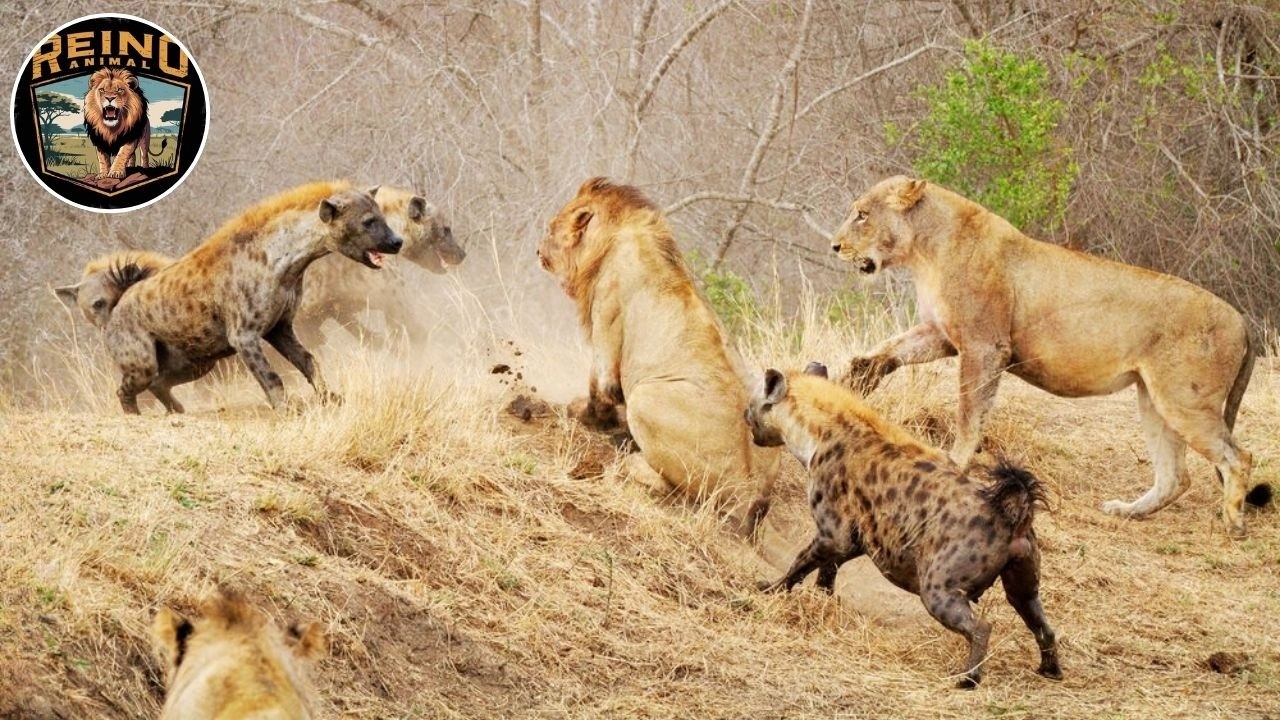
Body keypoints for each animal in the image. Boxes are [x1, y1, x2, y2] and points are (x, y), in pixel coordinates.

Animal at [538, 177, 781, 533]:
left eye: (551, 227)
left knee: (670, 486)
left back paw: (629, 454)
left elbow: (599, 387)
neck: (614, 236)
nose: (538, 251)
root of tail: (748, 490)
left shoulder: (606, 320)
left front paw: (586, 415)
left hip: (646, 397)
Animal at [830, 175, 1267, 535]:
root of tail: (1241, 319)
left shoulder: (984, 345)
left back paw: (1232, 521)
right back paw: (1127, 511)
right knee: (1176, 475)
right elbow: (894, 347)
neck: (924, 249)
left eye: (862, 215)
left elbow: (970, 411)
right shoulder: (943, 334)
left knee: (1239, 456)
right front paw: (860, 374)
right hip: (1154, 399)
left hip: (1185, 400)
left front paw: (955, 463)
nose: (834, 246)